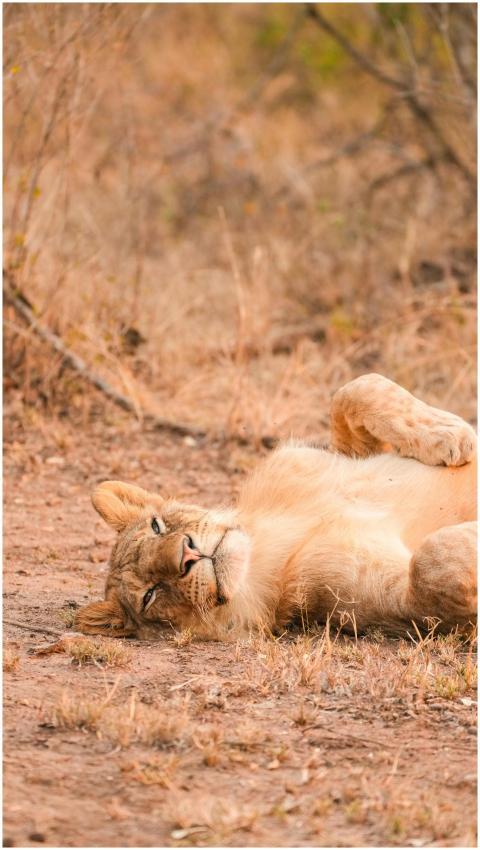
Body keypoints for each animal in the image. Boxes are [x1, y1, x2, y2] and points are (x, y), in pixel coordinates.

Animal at [75, 374, 477, 640]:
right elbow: (431, 565)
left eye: (158, 526)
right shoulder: (394, 608)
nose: (187, 554)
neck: (266, 537)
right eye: (150, 595)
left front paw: (451, 433)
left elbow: (355, 390)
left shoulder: (340, 454)